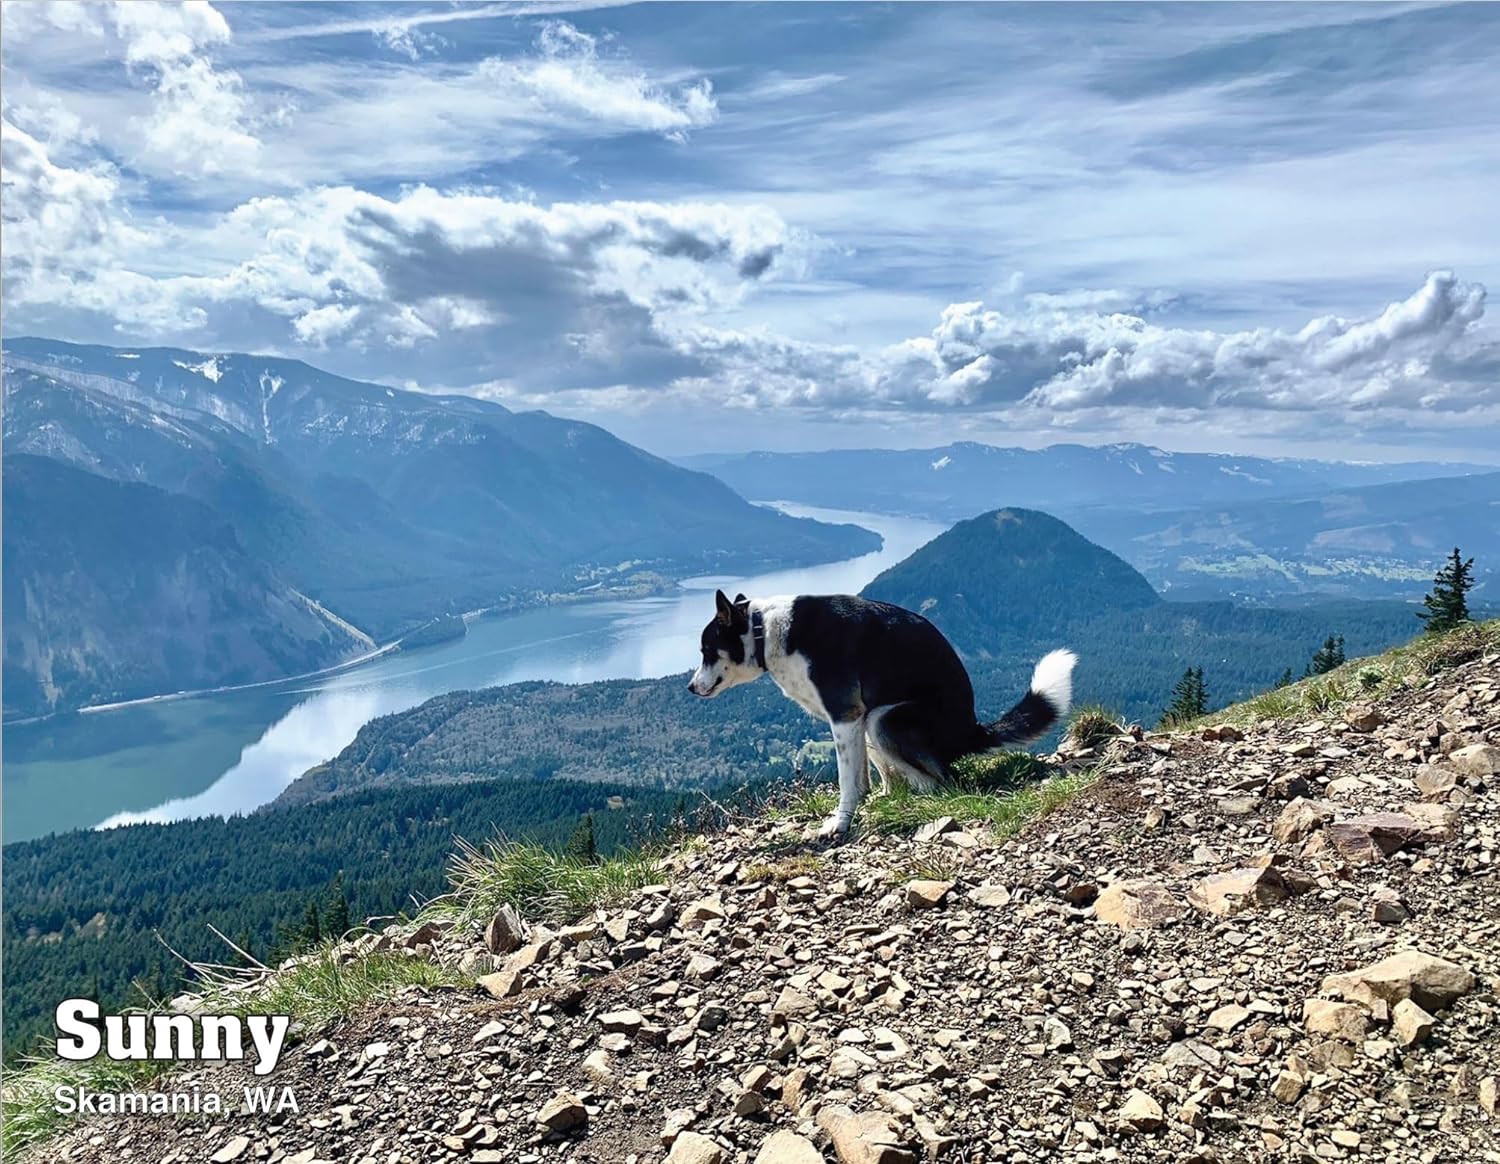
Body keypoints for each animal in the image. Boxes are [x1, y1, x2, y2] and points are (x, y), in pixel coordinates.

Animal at [690, 591, 1080, 834]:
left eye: (707, 650)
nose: (691, 688)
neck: (764, 631)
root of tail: (972, 730)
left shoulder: (845, 715)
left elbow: (847, 781)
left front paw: (840, 822)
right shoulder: (851, 721)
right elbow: (862, 777)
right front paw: (872, 801)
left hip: (883, 720)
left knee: (944, 781)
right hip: (872, 721)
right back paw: (894, 797)